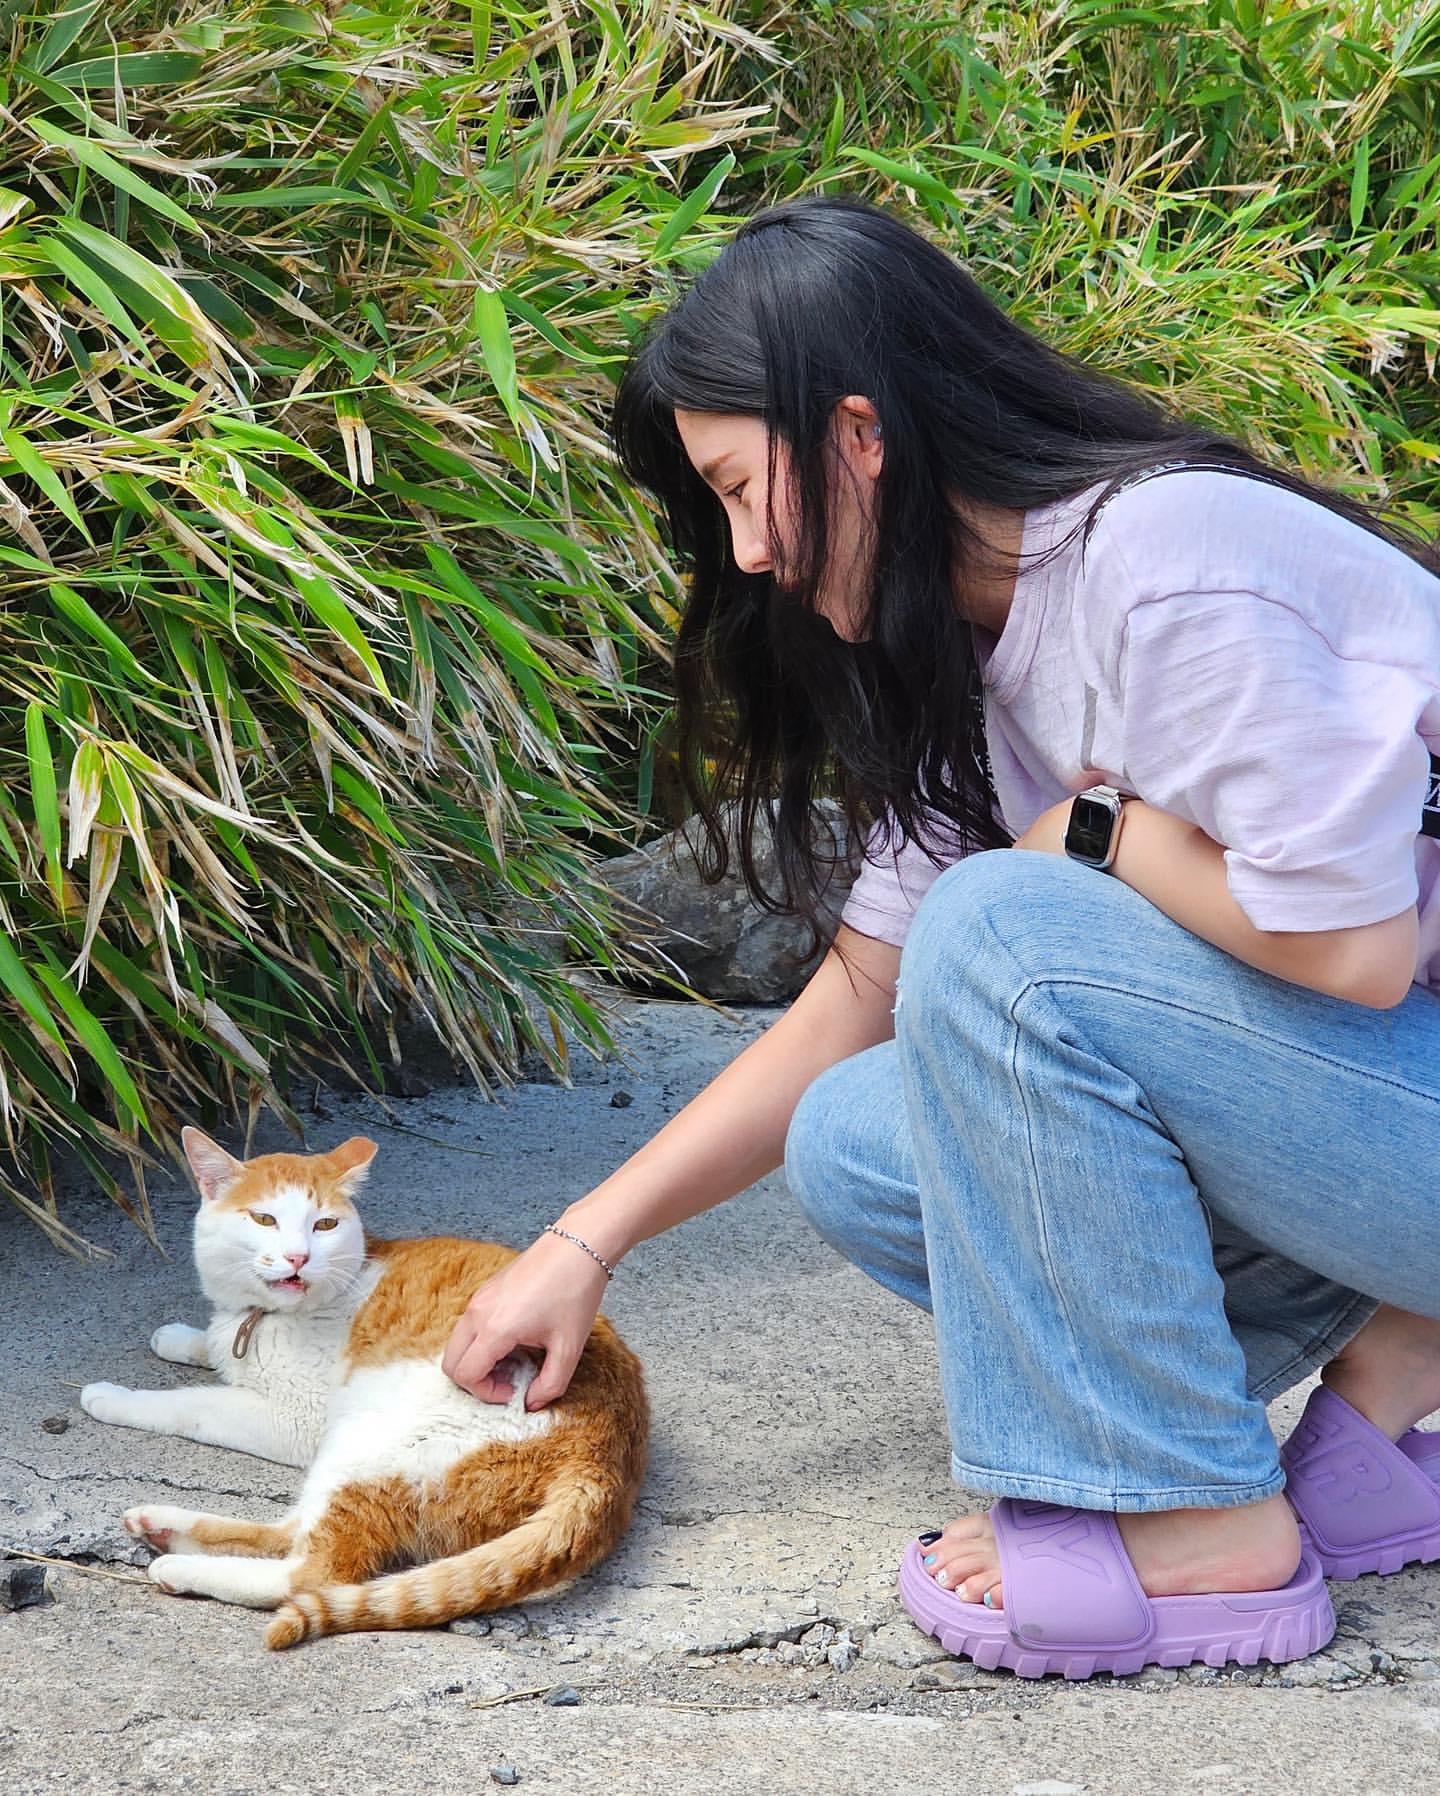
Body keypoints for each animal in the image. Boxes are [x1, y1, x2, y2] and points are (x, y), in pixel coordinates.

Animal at [79, 1127, 649, 1651]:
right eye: (264, 1219)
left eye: (325, 1225)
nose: (297, 1258)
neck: (271, 1315)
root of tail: (606, 1458)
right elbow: (215, 1348)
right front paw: (181, 1338)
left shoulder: (297, 1417)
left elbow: (192, 1404)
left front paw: (113, 1397)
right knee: (289, 1535)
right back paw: (162, 1524)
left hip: (370, 1443)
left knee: (314, 1571)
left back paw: (179, 1566)